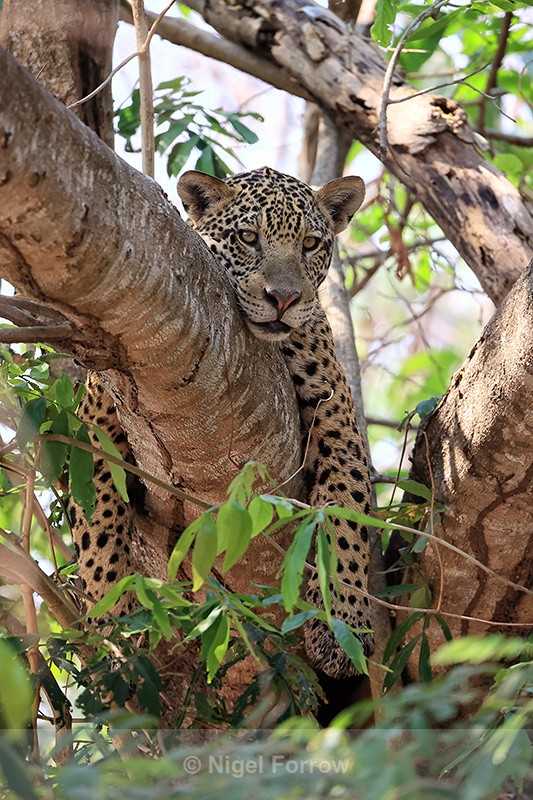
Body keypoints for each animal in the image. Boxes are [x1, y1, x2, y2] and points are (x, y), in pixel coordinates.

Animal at [71, 166, 373, 680]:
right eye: (248, 238)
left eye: (311, 244)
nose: (284, 297)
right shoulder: (98, 408)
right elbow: (95, 513)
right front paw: (110, 612)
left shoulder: (338, 421)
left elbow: (344, 520)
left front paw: (344, 624)